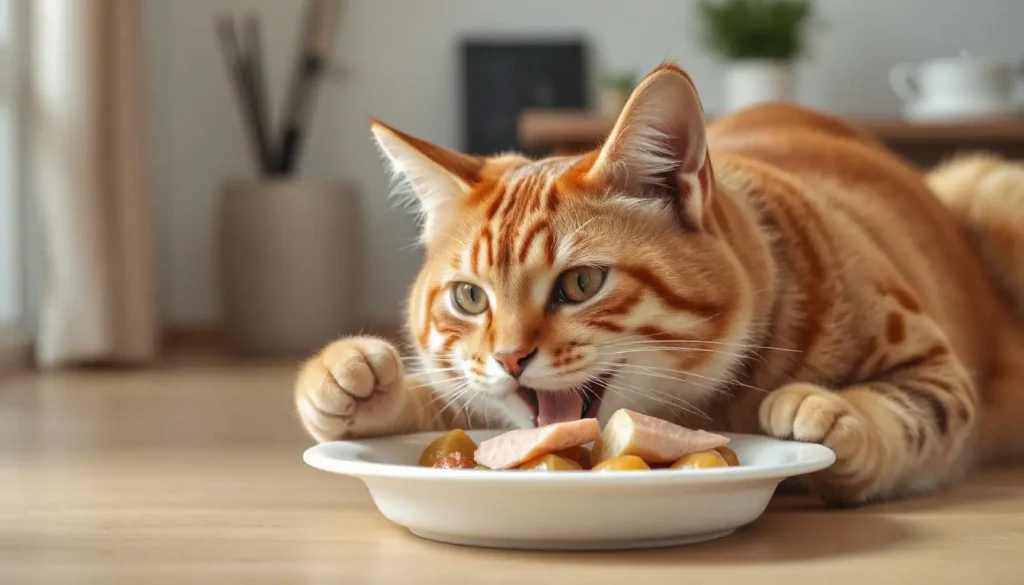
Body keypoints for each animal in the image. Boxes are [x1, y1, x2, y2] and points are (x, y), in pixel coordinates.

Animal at [292, 63, 1024, 504]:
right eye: (470, 297)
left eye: (581, 283)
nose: (508, 358)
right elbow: (456, 408)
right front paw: (357, 383)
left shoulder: (935, 367)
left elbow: (908, 411)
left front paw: (831, 410)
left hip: (992, 189)